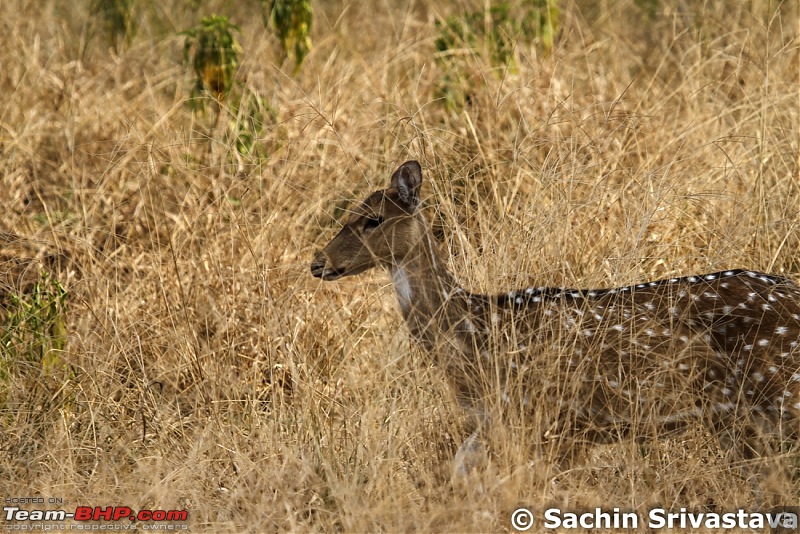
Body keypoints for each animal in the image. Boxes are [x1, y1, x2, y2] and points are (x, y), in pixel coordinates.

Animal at [310, 161, 800, 476]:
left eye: (373, 219)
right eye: (347, 214)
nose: (318, 262)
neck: (474, 332)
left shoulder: (549, 420)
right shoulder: (499, 424)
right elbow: (461, 470)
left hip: (778, 397)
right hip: (738, 420)